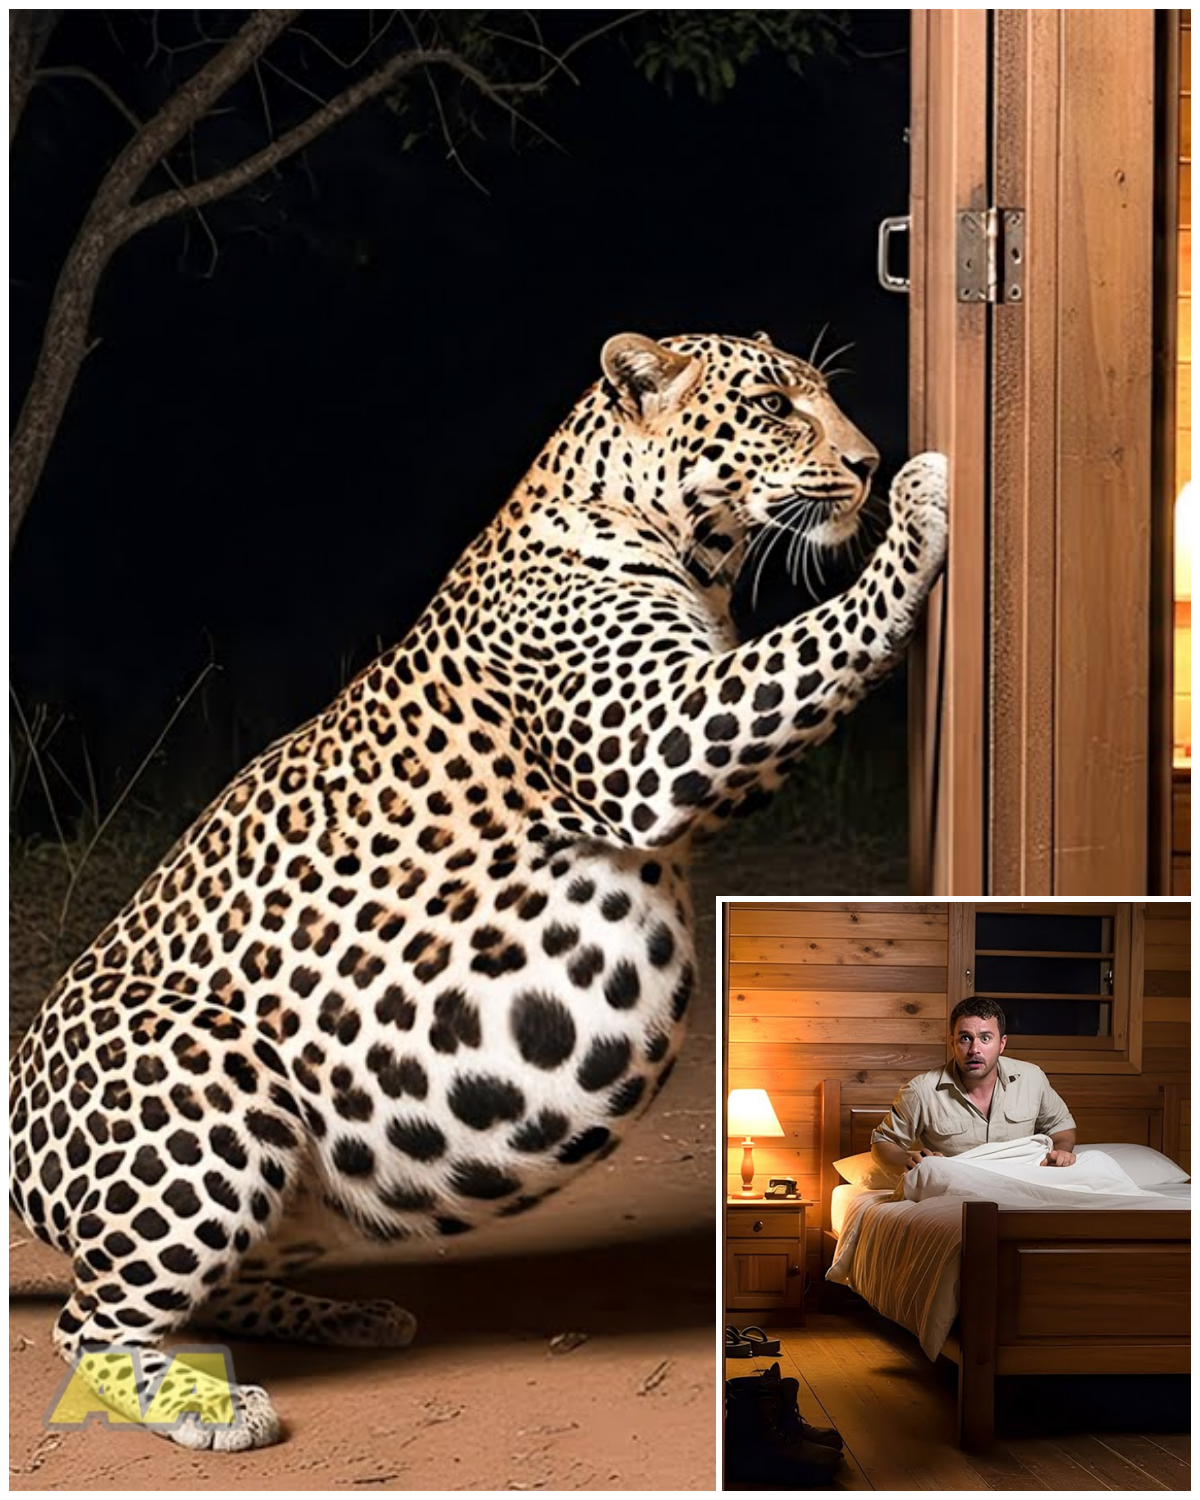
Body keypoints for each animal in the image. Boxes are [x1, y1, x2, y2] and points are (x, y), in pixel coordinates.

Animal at [10, 330, 947, 1449]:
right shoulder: (665, 741)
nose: (866, 461)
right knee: (89, 1321)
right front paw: (922, 501)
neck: (687, 549)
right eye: (772, 406)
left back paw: (344, 1316)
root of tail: (14, 1126)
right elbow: (822, 635)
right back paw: (205, 1401)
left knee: (207, 1286)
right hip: (217, 1085)